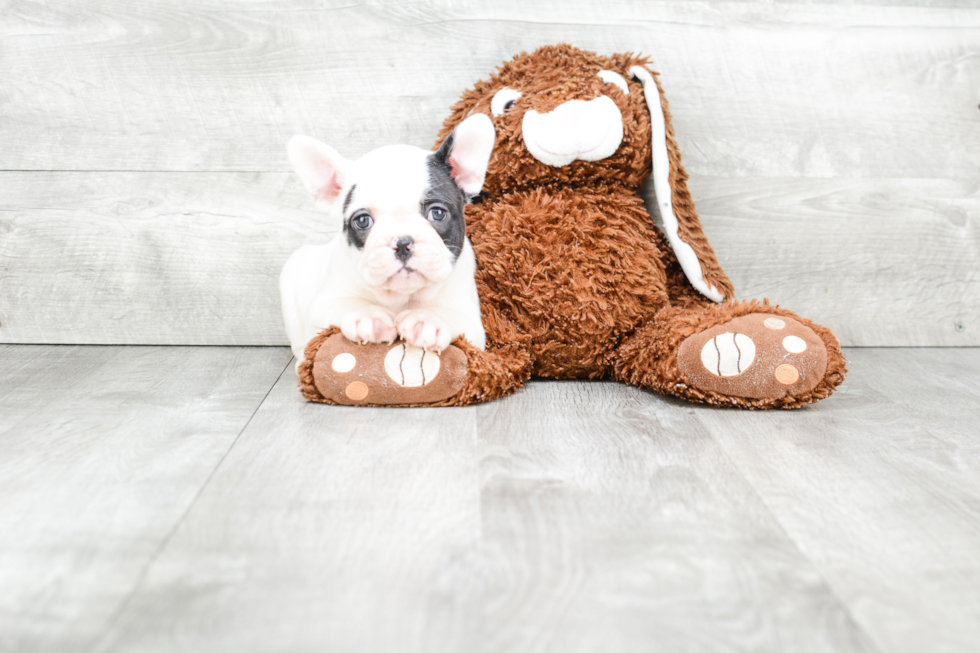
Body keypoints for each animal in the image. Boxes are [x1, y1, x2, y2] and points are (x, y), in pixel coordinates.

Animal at [280, 113, 498, 366]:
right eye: (362, 220)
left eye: (437, 213)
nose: (402, 242)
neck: (401, 296)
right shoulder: (323, 303)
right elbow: (345, 304)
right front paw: (368, 316)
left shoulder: (471, 323)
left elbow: (452, 317)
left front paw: (427, 320)